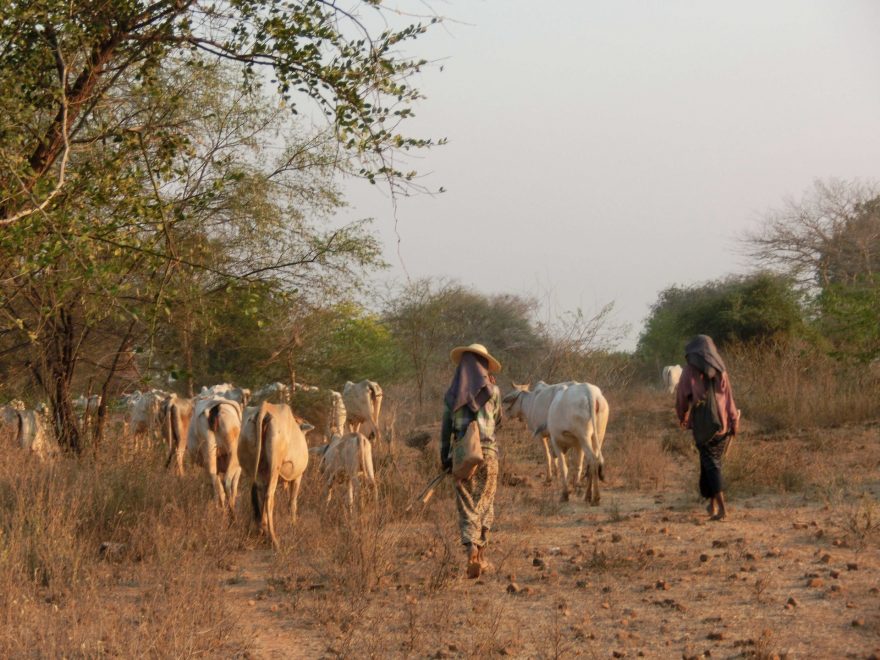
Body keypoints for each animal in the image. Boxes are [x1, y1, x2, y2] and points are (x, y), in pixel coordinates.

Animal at [237, 402, 310, 548]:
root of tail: (265, 408)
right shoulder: (297, 477)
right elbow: (292, 502)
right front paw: (293, 525)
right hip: (274, 469)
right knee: (269, 497)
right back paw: (274, 539)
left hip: (255, 470)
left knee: (259, 494)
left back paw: (261, 530)